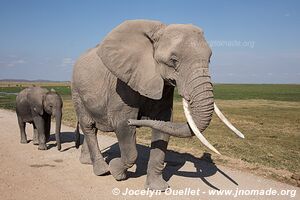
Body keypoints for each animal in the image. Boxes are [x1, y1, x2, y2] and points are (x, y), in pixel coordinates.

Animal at [72, 20, 244, 191]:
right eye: (173, 60)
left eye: (209, 59)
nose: (136, 121)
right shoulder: (120, 85)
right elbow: (122, 125)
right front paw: (116, 172)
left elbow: (163, 124)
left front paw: (158, 188)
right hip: (76, 90)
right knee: (88, 126)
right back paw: (102, 170)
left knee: (92, 128)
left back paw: (87, 162)